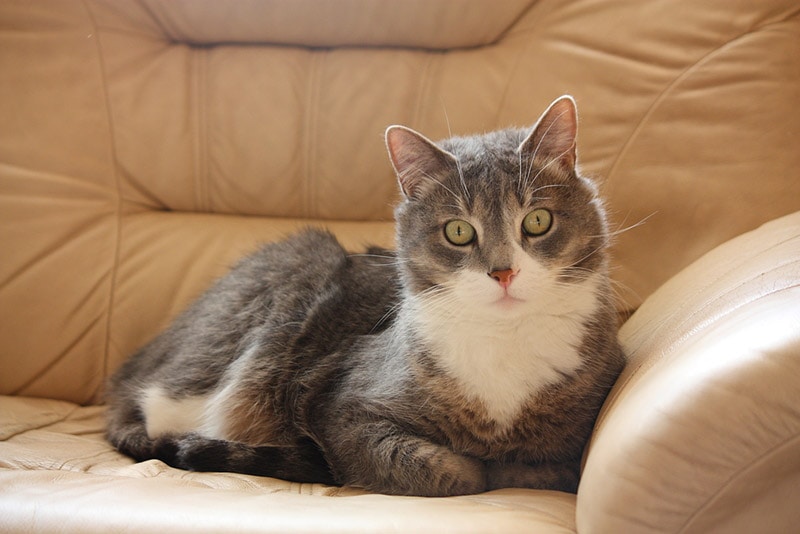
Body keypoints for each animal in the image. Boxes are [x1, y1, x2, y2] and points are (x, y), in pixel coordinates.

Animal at [104, 95, 624, 498]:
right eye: (458, 231)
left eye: (537, 221)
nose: (503, 272)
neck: (505, 339)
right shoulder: (340, 405)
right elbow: (451, 472)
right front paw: (477, 465)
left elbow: (544, 466)